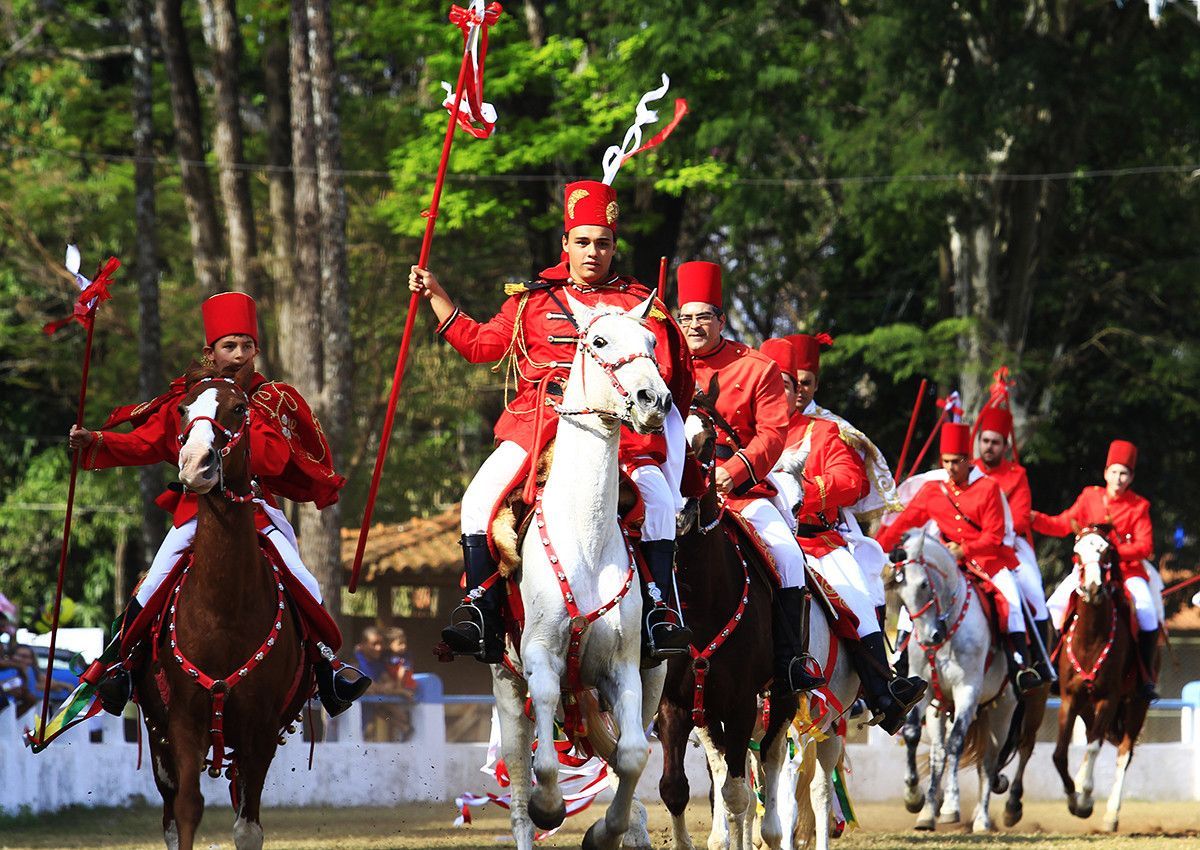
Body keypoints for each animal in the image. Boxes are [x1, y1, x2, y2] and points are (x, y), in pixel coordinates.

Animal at [133, 362, 307, 850]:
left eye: (239, 409)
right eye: (183, 408)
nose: (196, 464)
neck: (222, 612)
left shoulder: (260, 727)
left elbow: (247, 827)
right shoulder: (180, 721)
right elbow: (188, 811)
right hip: (157, 736)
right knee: (171, 811)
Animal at [489, 294, 676, 850]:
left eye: (653, 341)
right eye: (598, 340)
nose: (654, 399)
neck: (586, 541)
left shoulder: (625, 667)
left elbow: (632, 755)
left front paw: (607, 831)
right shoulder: (539, 656)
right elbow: (545, 764)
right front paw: (552, 807)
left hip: (653, 675)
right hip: (506, 689)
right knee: (518, 789)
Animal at [657, 379, 796, 850]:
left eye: (708, 442)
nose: (678, 513)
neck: (701, 600)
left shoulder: (740, 707)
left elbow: (738, 796)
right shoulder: (675, 704)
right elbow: (675, 790)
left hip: (780, 699)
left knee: (767, 768)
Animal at [897, 530, 1017, 830]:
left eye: (924, 584)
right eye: (900, 590)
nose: (929, 638)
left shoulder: (968, 690)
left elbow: (956, 744)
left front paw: (951, 806)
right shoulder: (924, 688)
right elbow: (913, 733)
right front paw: (914, 796)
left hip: (1002, 711)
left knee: (987, 762)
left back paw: (982, 819)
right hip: (940, 708)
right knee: (939, 754)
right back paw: (928, 812)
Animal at [1051, 523, 1152, 830]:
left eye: (1106, 551)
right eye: (1076, 553)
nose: (1093, 588)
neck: (1090, 638)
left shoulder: (1109, 699)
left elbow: (1094, 748)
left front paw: (1084, 798)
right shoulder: (1070, 698)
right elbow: (1060, 753)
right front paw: (1073, 797)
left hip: (1136, 705)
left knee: (1123, 753)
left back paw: (1110, 815)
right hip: (1088, 707)